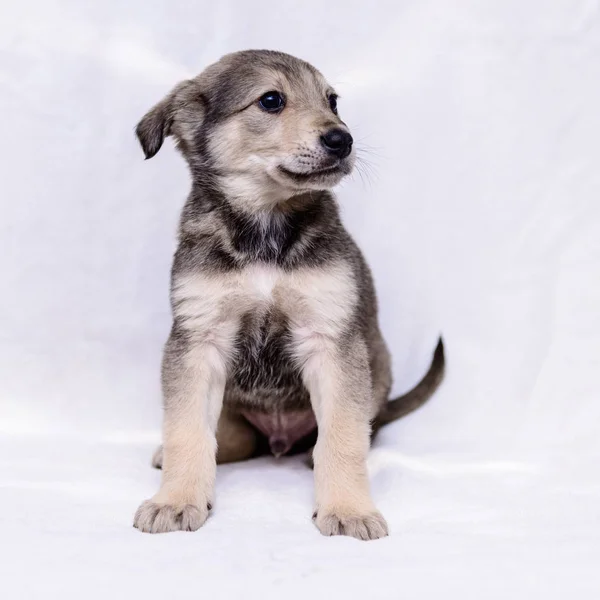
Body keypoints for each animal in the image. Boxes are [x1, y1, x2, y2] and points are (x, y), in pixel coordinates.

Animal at [134, 49, 442, 540]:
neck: (266, 228)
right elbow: (186, 431)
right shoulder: (198, 340)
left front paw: (348, 508)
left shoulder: (330, 341)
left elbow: (342, 438)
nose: (343, 140)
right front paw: (176, 500)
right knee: (229, 439)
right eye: (271, 100)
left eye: (332, 101)